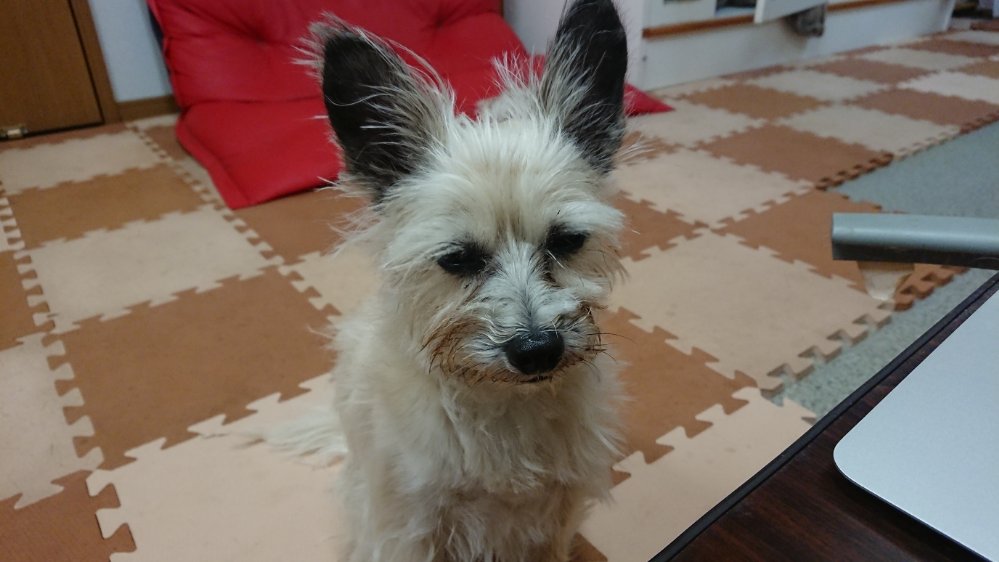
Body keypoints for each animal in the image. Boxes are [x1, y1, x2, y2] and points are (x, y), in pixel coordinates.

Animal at [305, 1, 630, 560]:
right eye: (457, 259)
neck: (504, 405)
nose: (537, 351)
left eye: (567, 240)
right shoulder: (409, 528)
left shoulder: (558, 515)